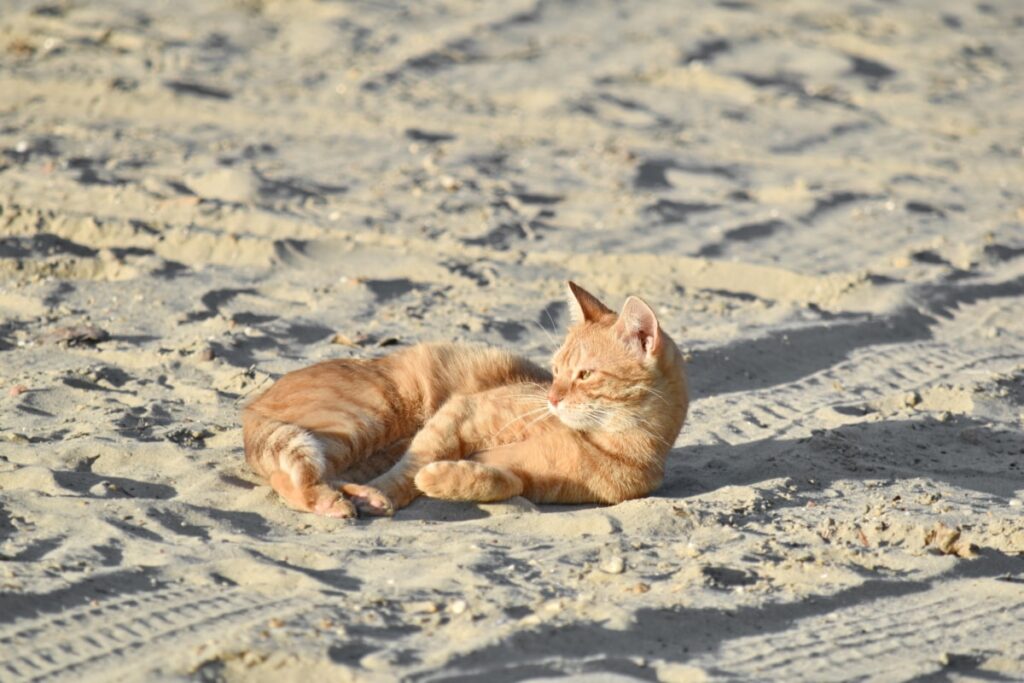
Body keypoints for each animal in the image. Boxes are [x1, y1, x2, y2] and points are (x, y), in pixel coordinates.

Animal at [240, 282, 688, 518]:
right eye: (556, 370)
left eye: (585, 375)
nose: (552, 397)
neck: (607, 442)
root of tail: (251, 405)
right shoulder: (461, 413)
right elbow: (411, 467)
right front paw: (391, 490)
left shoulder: (532, 481)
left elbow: (500, 481)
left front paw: (444, 479)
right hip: (362, 422)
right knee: (291, 474)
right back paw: (335, 501)